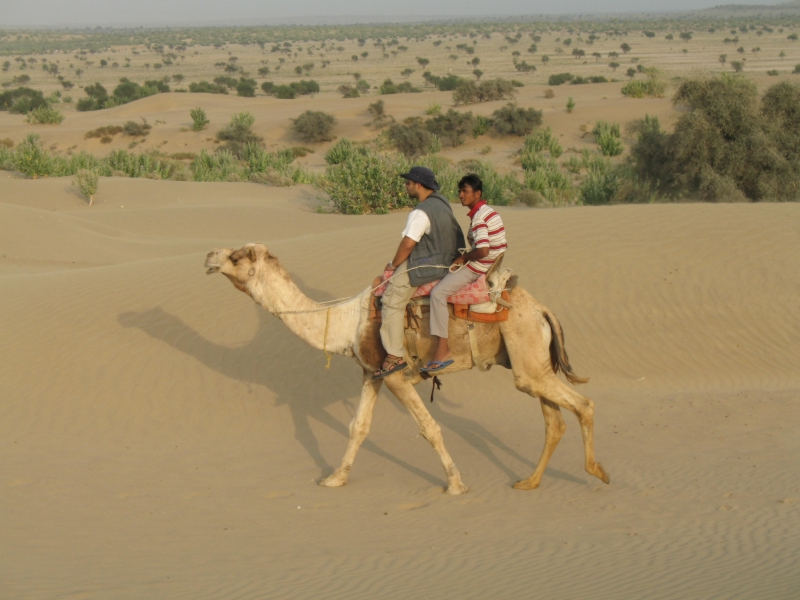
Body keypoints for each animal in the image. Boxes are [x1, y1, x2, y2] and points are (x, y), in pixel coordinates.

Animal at [203, 241, 608, 494]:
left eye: (238, 256)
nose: (209, 255)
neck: (347, 321)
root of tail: (542, 308)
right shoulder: (371, 372)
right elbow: (358, 426)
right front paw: (334, 479)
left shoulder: (397, 375)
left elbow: (430, 429)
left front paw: (455, 485)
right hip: (531, 360)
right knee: (554, 420)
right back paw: (529, 482)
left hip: (526, 354)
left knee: (583, 404)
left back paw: (596, 471)